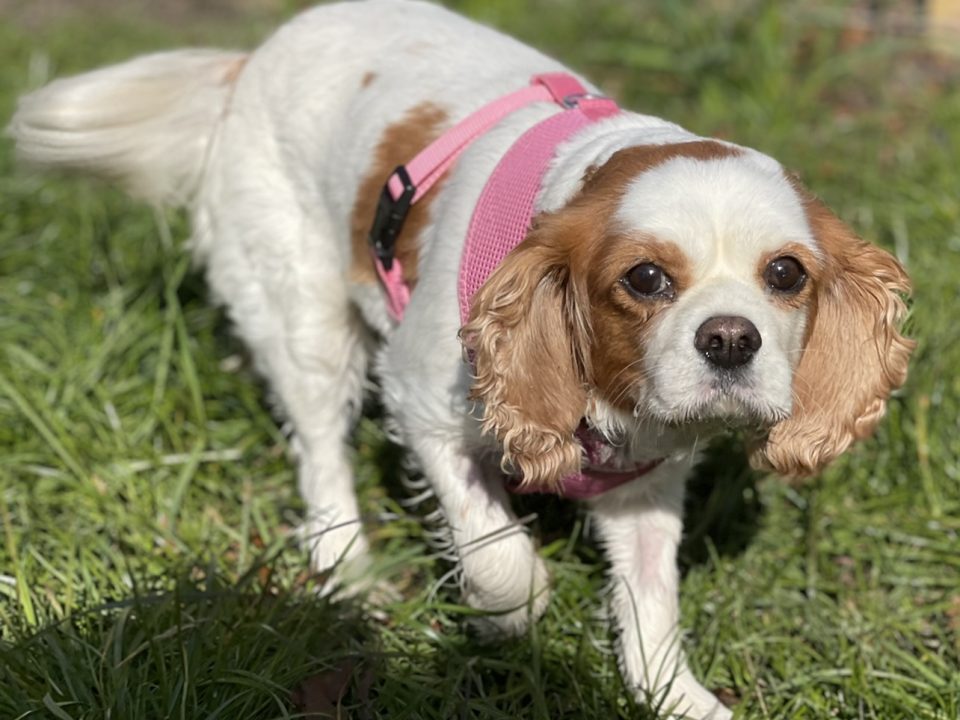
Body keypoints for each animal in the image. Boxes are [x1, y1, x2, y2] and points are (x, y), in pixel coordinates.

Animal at [11, 2, 916, 716]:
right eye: (646, 279)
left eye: (786, 274)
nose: (730, 337)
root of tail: (251, 61)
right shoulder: (426, 406)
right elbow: (502, 554)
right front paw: (499, 616)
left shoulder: (643, 486)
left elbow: (650, 602)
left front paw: (677, 698)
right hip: (304, 311)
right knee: (320, 448)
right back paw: (347, 566)